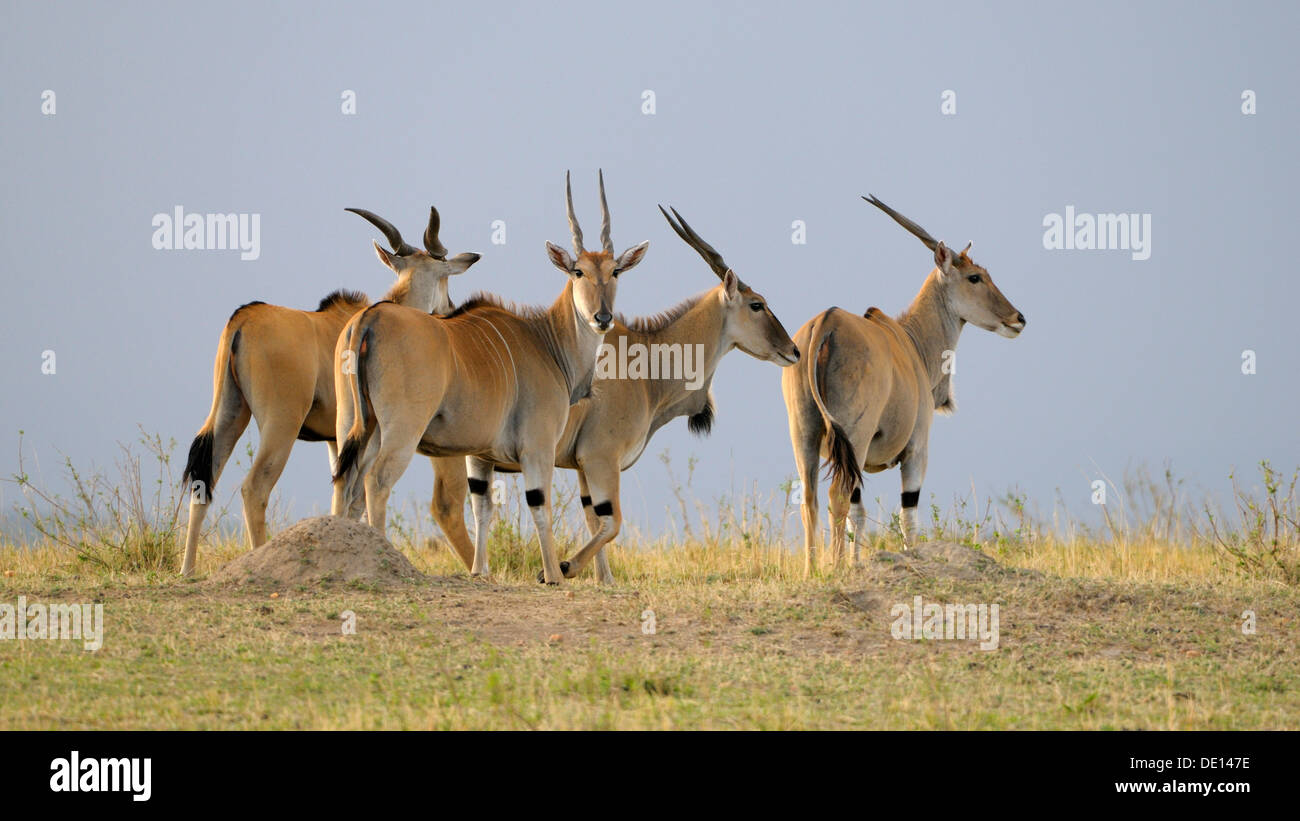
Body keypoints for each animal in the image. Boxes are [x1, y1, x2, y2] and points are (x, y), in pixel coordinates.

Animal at [180, 207, 480, 574]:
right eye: (446, 276)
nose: (449, 307)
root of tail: (243, 320)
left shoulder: (337, 440)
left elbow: (344, 494)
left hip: (229, 415)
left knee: (203, 482)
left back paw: (187, 571)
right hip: (281, 425)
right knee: (254, 488)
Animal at [330, 171, 644, 584]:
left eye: (615, 272)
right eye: (578, 272)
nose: (602, 318)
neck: (546, 341)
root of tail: (371, 317)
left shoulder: (480, 456)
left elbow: (483, 511)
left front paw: (481, 572)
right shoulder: (537, 448)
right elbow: (540, 507)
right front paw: (553, 574)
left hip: (354, 425)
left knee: (345, 483)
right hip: (400, 431)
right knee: (375, 481)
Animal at [431, 203, 800, 584]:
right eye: (757, 304)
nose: (794, 350)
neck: (647, 361)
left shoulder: (583, 465)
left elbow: (595, 520)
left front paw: (602, 578)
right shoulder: (600, 458)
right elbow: (612, 522)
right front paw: (564, 567)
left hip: (480, 457)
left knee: (481, 508)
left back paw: (480, 572)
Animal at [780, 196, 1024, 574]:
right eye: (975, 277)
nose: (1017, 318)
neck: (911, 341)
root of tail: (825, 324)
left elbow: (858, 515)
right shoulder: (916, 450)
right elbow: (907, 515)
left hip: (804, 435)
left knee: (810, 499)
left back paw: (812, 571)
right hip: (855, 435)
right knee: (836, 495)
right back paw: (834, 568)